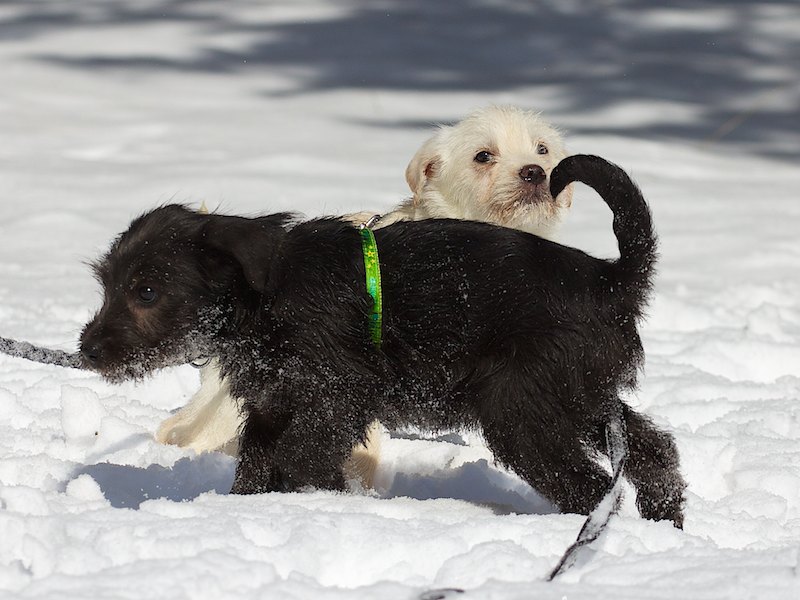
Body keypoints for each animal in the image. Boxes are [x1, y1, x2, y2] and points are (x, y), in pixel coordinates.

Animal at [80, 155, 686, 526]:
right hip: (577, 396)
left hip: (523, 411)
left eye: (147, 290)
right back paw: (666, 523)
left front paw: (328, 498)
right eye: (106, 283)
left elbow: (301, 457)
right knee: (652, 449)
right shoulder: (275, 405)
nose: (88, 350)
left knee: (589, 484)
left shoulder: (336, 397)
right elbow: (256, 463)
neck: (264, 295)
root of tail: (609, 277)